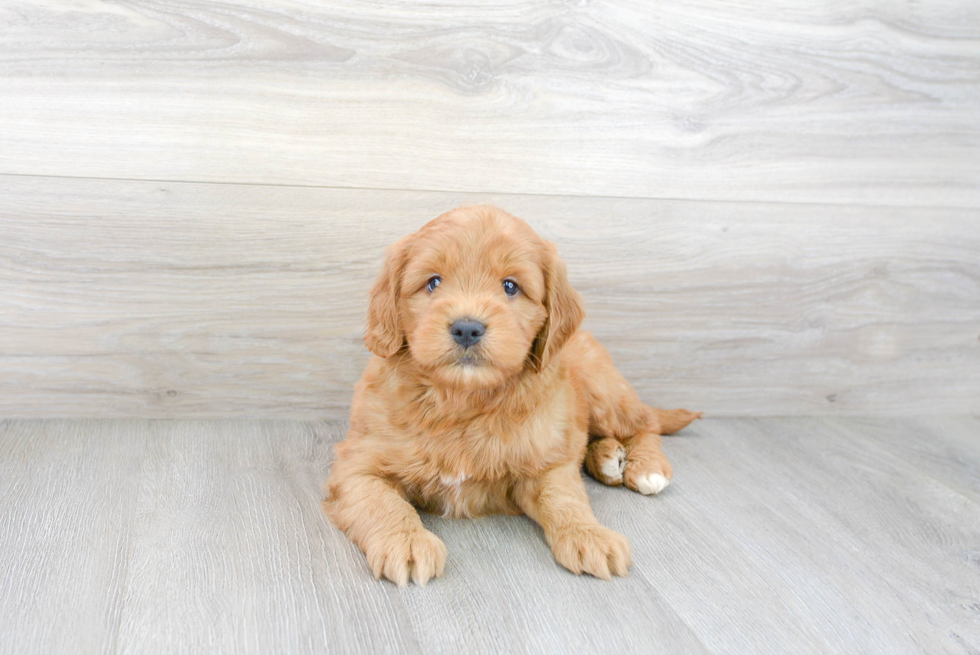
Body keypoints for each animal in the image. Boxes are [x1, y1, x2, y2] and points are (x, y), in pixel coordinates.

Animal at [326, 208, 700, 588]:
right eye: (433, 282)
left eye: (510, 286)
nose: (467, 328)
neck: (462, 399)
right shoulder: (357, 464)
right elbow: (382, 503)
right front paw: (405, 542)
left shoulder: (545, 460)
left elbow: (565, 496)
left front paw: (589, 535)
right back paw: (608, 459)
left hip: (603, 391)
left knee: (644, 424)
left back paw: (646, 468)